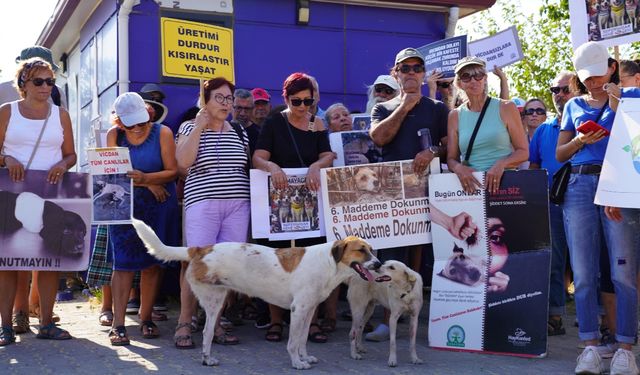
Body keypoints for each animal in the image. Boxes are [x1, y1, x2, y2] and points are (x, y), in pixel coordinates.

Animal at [131, 219, 380, 372]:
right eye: (361, 251)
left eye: (372, 250)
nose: (378, 264)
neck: (329, 263)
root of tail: (200, 249)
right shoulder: (298, 310)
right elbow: (292, 342)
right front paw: (297, 363)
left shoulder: (308, 310)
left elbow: (301, 340)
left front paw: (305, 357)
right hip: (214, 302)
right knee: (205, 332)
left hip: (217, 300)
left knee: (207, 334)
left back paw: (207, 359)